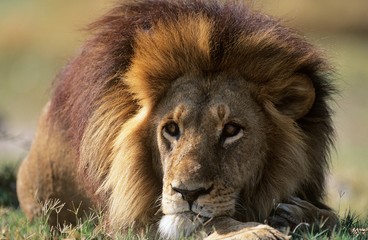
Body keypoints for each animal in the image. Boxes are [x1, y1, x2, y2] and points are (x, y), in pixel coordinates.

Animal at [16, 0, 340, 238]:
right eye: (171, 129)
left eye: (232, 130)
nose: (188, 192)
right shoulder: (128, 222)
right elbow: (208, 220)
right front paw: (258, 231)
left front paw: (303, 214)